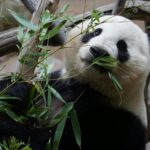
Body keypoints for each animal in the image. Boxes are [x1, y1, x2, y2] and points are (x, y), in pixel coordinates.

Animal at [0, 15, 149, 150]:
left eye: (122, 45)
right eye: (96, 31)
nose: (98, 51)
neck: (88, 86)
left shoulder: (117, 121)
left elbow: (49, 142)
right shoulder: (56, 84)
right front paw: (16, 90)